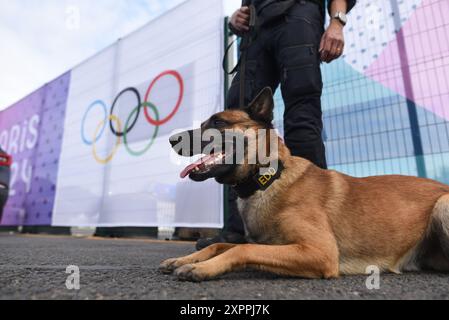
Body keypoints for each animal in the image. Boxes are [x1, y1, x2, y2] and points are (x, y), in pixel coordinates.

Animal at [160, 87, 448, 282]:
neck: (269, 178)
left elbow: (243, 247)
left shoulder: (320, 252)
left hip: (442, 204)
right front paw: (184, 259)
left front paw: (202, 268)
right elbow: (219, 245)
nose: (172, 140)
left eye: (219, 122)